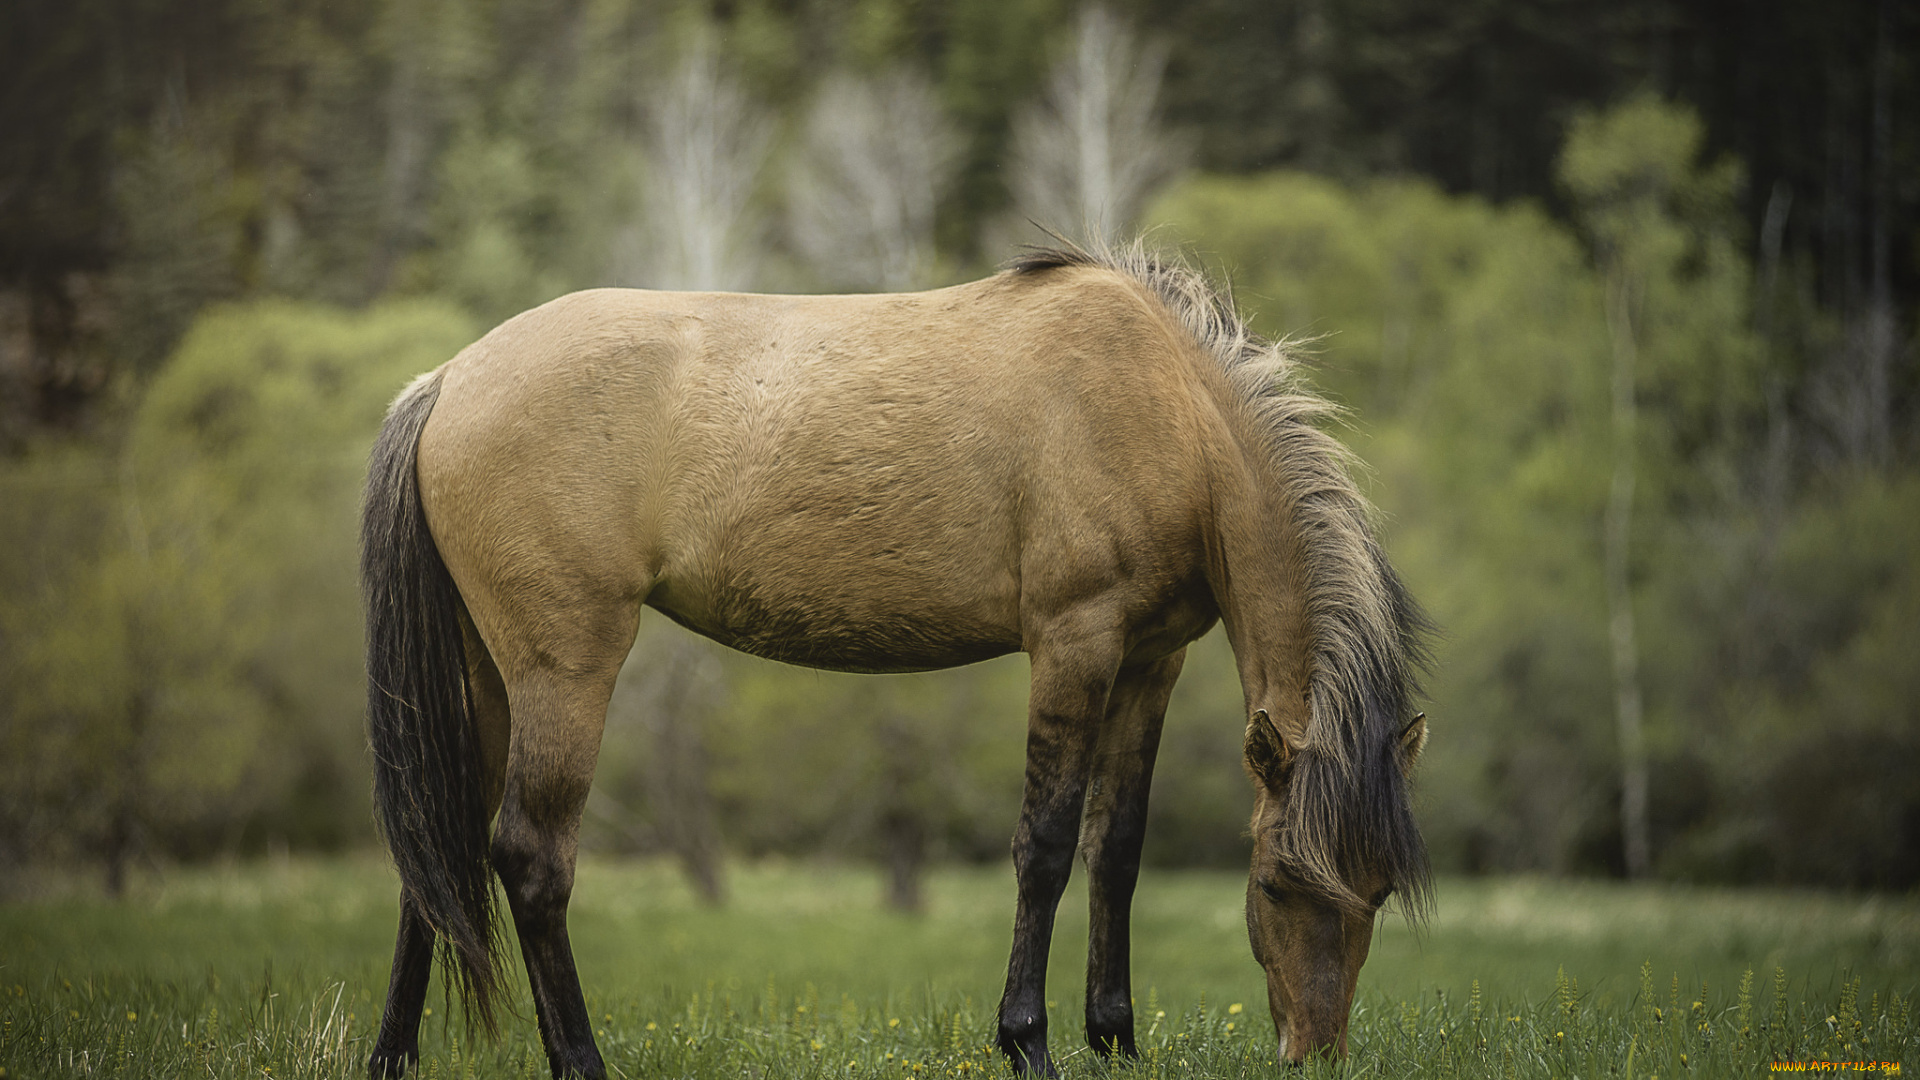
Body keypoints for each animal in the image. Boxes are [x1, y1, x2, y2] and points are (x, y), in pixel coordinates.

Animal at [362, 242, 1428, 1076]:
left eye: (1375, 888)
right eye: (1277, 883)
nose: (1313, 1055)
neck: (1169, 410)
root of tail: (448, 380)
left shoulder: (1148, 661)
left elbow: (1114, 849)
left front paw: (1115, 1040)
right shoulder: (1074, 640)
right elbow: (1044, 845)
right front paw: (1028, 1041)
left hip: (485, 673)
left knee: (438, 849)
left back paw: (393, 1055)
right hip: (564, 667)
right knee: (529, 856)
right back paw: (580, 1059)